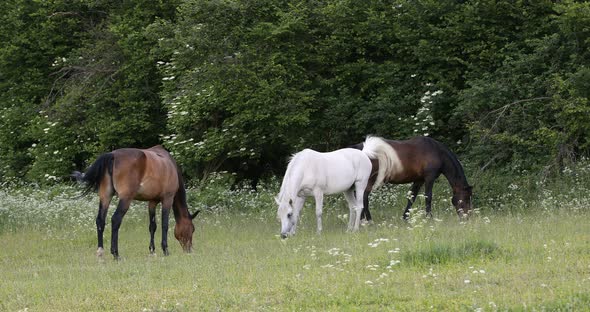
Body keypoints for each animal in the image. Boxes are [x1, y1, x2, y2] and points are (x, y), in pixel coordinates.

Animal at [72, 145, 200, 260]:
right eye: (192, 229)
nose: (189, 250)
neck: (170, 166)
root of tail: (112, 155)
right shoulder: (168, 199)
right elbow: (165, 225)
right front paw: (165, 250)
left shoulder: (152, 202)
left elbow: (152, 226)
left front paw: (152, 251)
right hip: (126, 198)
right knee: (116, 220)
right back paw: (116, 254)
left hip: (105, 196)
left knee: (100, 221)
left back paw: (100, 253)